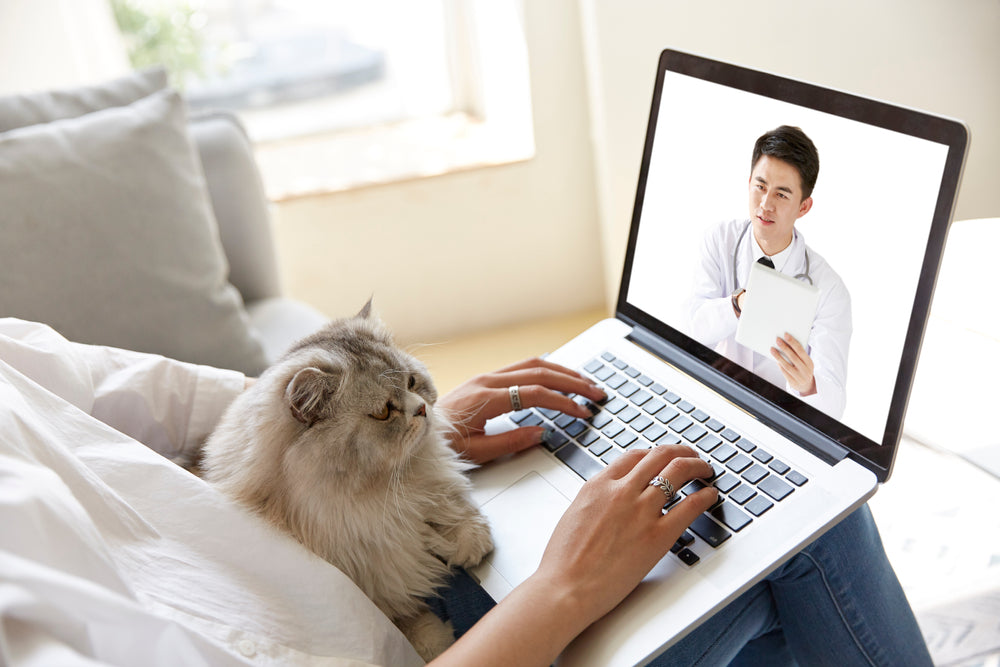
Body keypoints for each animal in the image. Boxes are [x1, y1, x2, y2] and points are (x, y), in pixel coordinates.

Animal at [195, 304, 492, 664]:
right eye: (383, 413)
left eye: (411, 381)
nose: (422, 409)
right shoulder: (378, 583)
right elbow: (407, 621)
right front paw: (438, 642)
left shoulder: (423, 494)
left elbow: (452, 508)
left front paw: (467, 542)